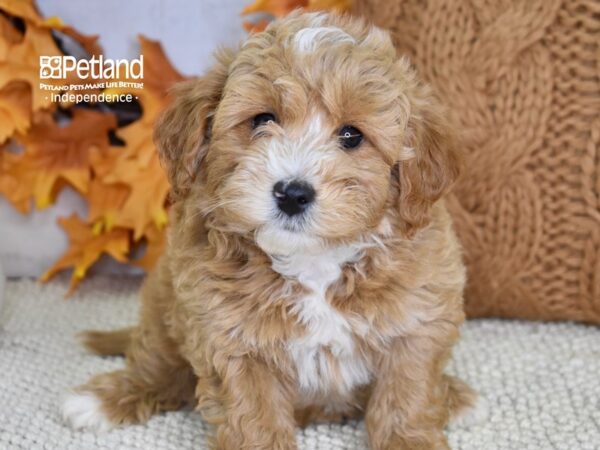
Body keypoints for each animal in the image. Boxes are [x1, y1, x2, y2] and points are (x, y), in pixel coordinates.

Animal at [61, 11, 482, 450]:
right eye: (263, 119)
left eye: (352, 135)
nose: (292, 194)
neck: (315, 263)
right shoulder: (232, 341)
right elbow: (255, 421)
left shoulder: (417, 323)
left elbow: (406, 400)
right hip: (164, 304)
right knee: (158, 366)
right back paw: (103, 400)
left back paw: (456, 397)